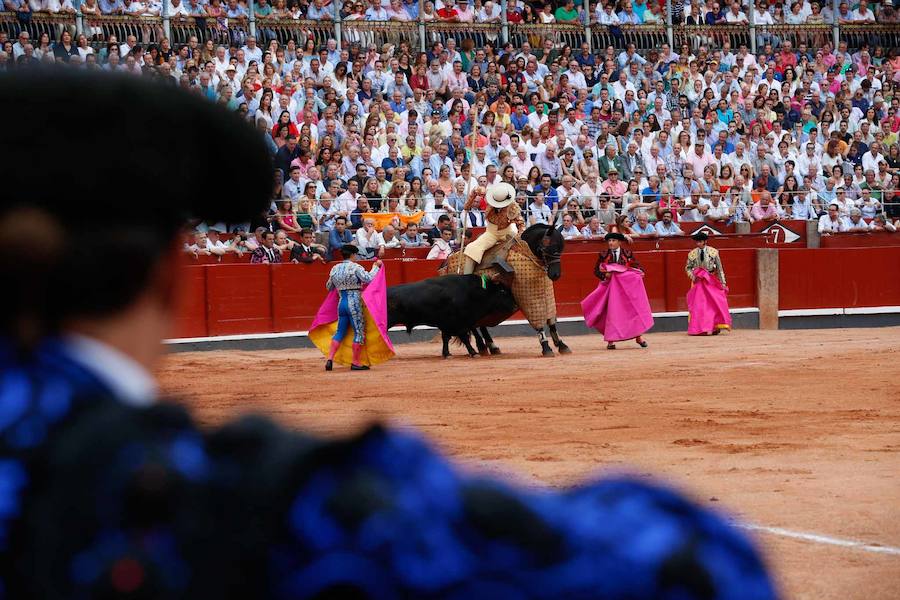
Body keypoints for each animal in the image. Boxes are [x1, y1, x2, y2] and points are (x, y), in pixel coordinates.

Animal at [384, 276, 516, 358]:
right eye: (503, 291)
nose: (515, 306)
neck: (471, 292)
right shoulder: (457, 322)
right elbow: (463, 337)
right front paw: (473, 352)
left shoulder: (448, 324)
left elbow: (446, 338)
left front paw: (446, 353)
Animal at [472, 224, 568, 356]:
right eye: (550, 248)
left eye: (561, 248)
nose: (556, 275)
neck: (528, 252)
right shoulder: (530, 298)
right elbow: (538, 322)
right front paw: (546, 347)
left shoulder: (548, 296)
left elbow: (552, 321)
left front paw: (562, 345)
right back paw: (482, 347)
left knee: (481, 324)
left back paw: (492, 347)